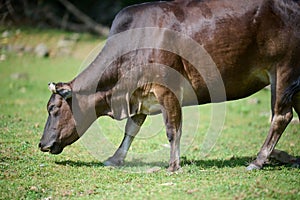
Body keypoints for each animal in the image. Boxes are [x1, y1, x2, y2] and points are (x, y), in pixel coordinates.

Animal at [38, 0, 298, 172]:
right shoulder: (140, 96)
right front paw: (115, 158)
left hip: (283, 69)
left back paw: (257, 161)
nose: (42, 144)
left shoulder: (167, 89)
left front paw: (173, 166)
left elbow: (173, 130)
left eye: (53, 109)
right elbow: (131, 130)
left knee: (281, 116)